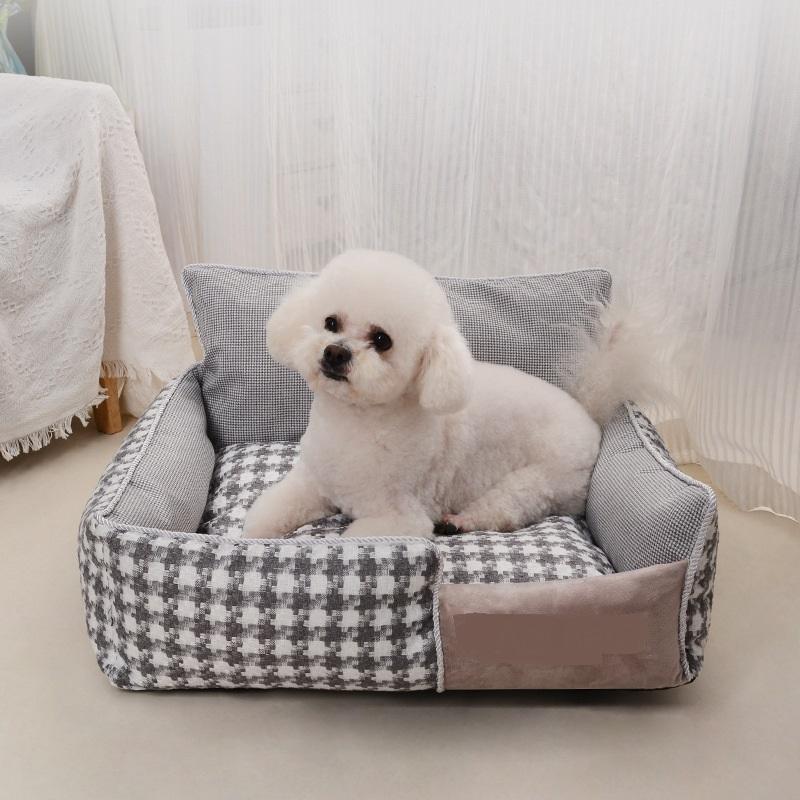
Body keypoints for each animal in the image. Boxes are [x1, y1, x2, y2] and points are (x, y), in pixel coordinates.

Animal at [244, 249, 648, 539]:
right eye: (331, 322)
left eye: (382, 340)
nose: (335, 353)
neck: (356, 421)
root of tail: (588, 413)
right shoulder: (312, 483)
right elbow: (268, 513)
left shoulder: (398, 519)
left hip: (544, 479)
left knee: (508, 507)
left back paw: (461, 521)